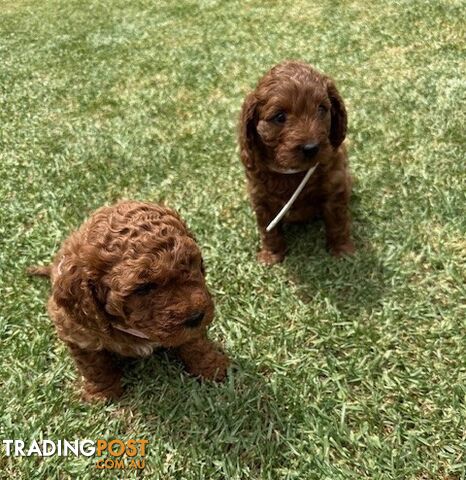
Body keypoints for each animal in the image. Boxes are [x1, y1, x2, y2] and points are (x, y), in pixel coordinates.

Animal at [28, 201, 228, 404]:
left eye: (194, 263)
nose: (196, 316)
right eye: (143, 288)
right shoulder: (77, 333)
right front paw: (103, 393)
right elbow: (94, 365)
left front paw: (213, 368)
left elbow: (196, 343)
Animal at [238, 60, 354, 266]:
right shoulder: (260, 197)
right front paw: (271, 255)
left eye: (321, 109)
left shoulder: (335, 186)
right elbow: (268, 230)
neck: (293, 172)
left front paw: (342, 250)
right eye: (280, 117)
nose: (311, 148)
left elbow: (338, 221)